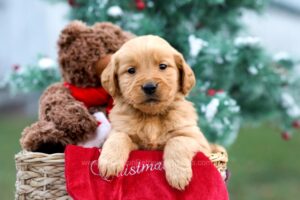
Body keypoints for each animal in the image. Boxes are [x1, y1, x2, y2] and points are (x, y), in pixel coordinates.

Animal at [98, 35, 211, 190]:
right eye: (131, 70)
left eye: (162, 66)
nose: (149, 87)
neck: (151, 117)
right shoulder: (123, 134)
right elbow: (119, 137)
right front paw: (109, 162)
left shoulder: (197, 140)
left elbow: (177, 140)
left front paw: (178, 175)